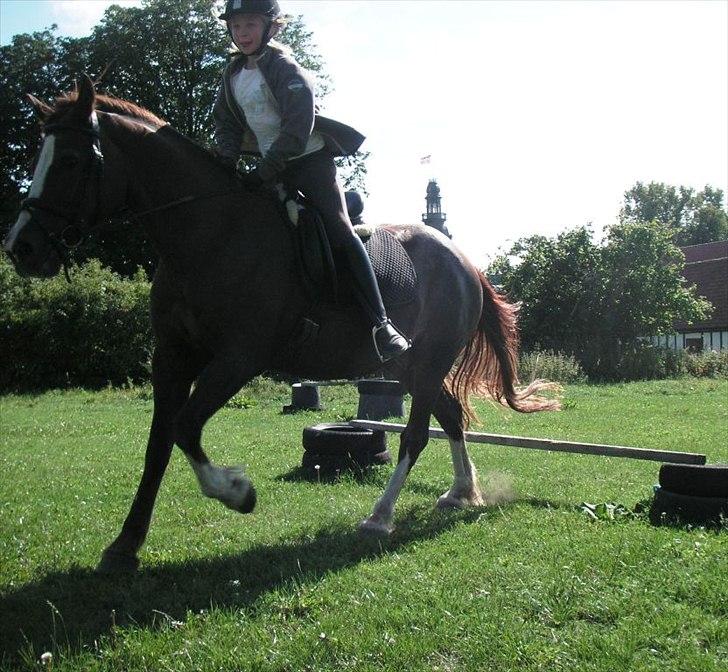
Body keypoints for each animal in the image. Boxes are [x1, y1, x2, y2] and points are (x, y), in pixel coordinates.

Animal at [2, 77, 556, 572]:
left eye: (71, 161)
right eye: (36, 160)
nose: (21, 247)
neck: (208, 234)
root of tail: (464, 262)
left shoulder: (238, 358)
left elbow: (185, 427)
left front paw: (235, 492)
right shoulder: (172, 356)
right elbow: (159, 443)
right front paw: (125, 546)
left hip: (430, 360)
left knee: (416, 435)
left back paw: (381, 516)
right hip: (411, 366)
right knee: (450, 416)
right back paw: (462, 493)